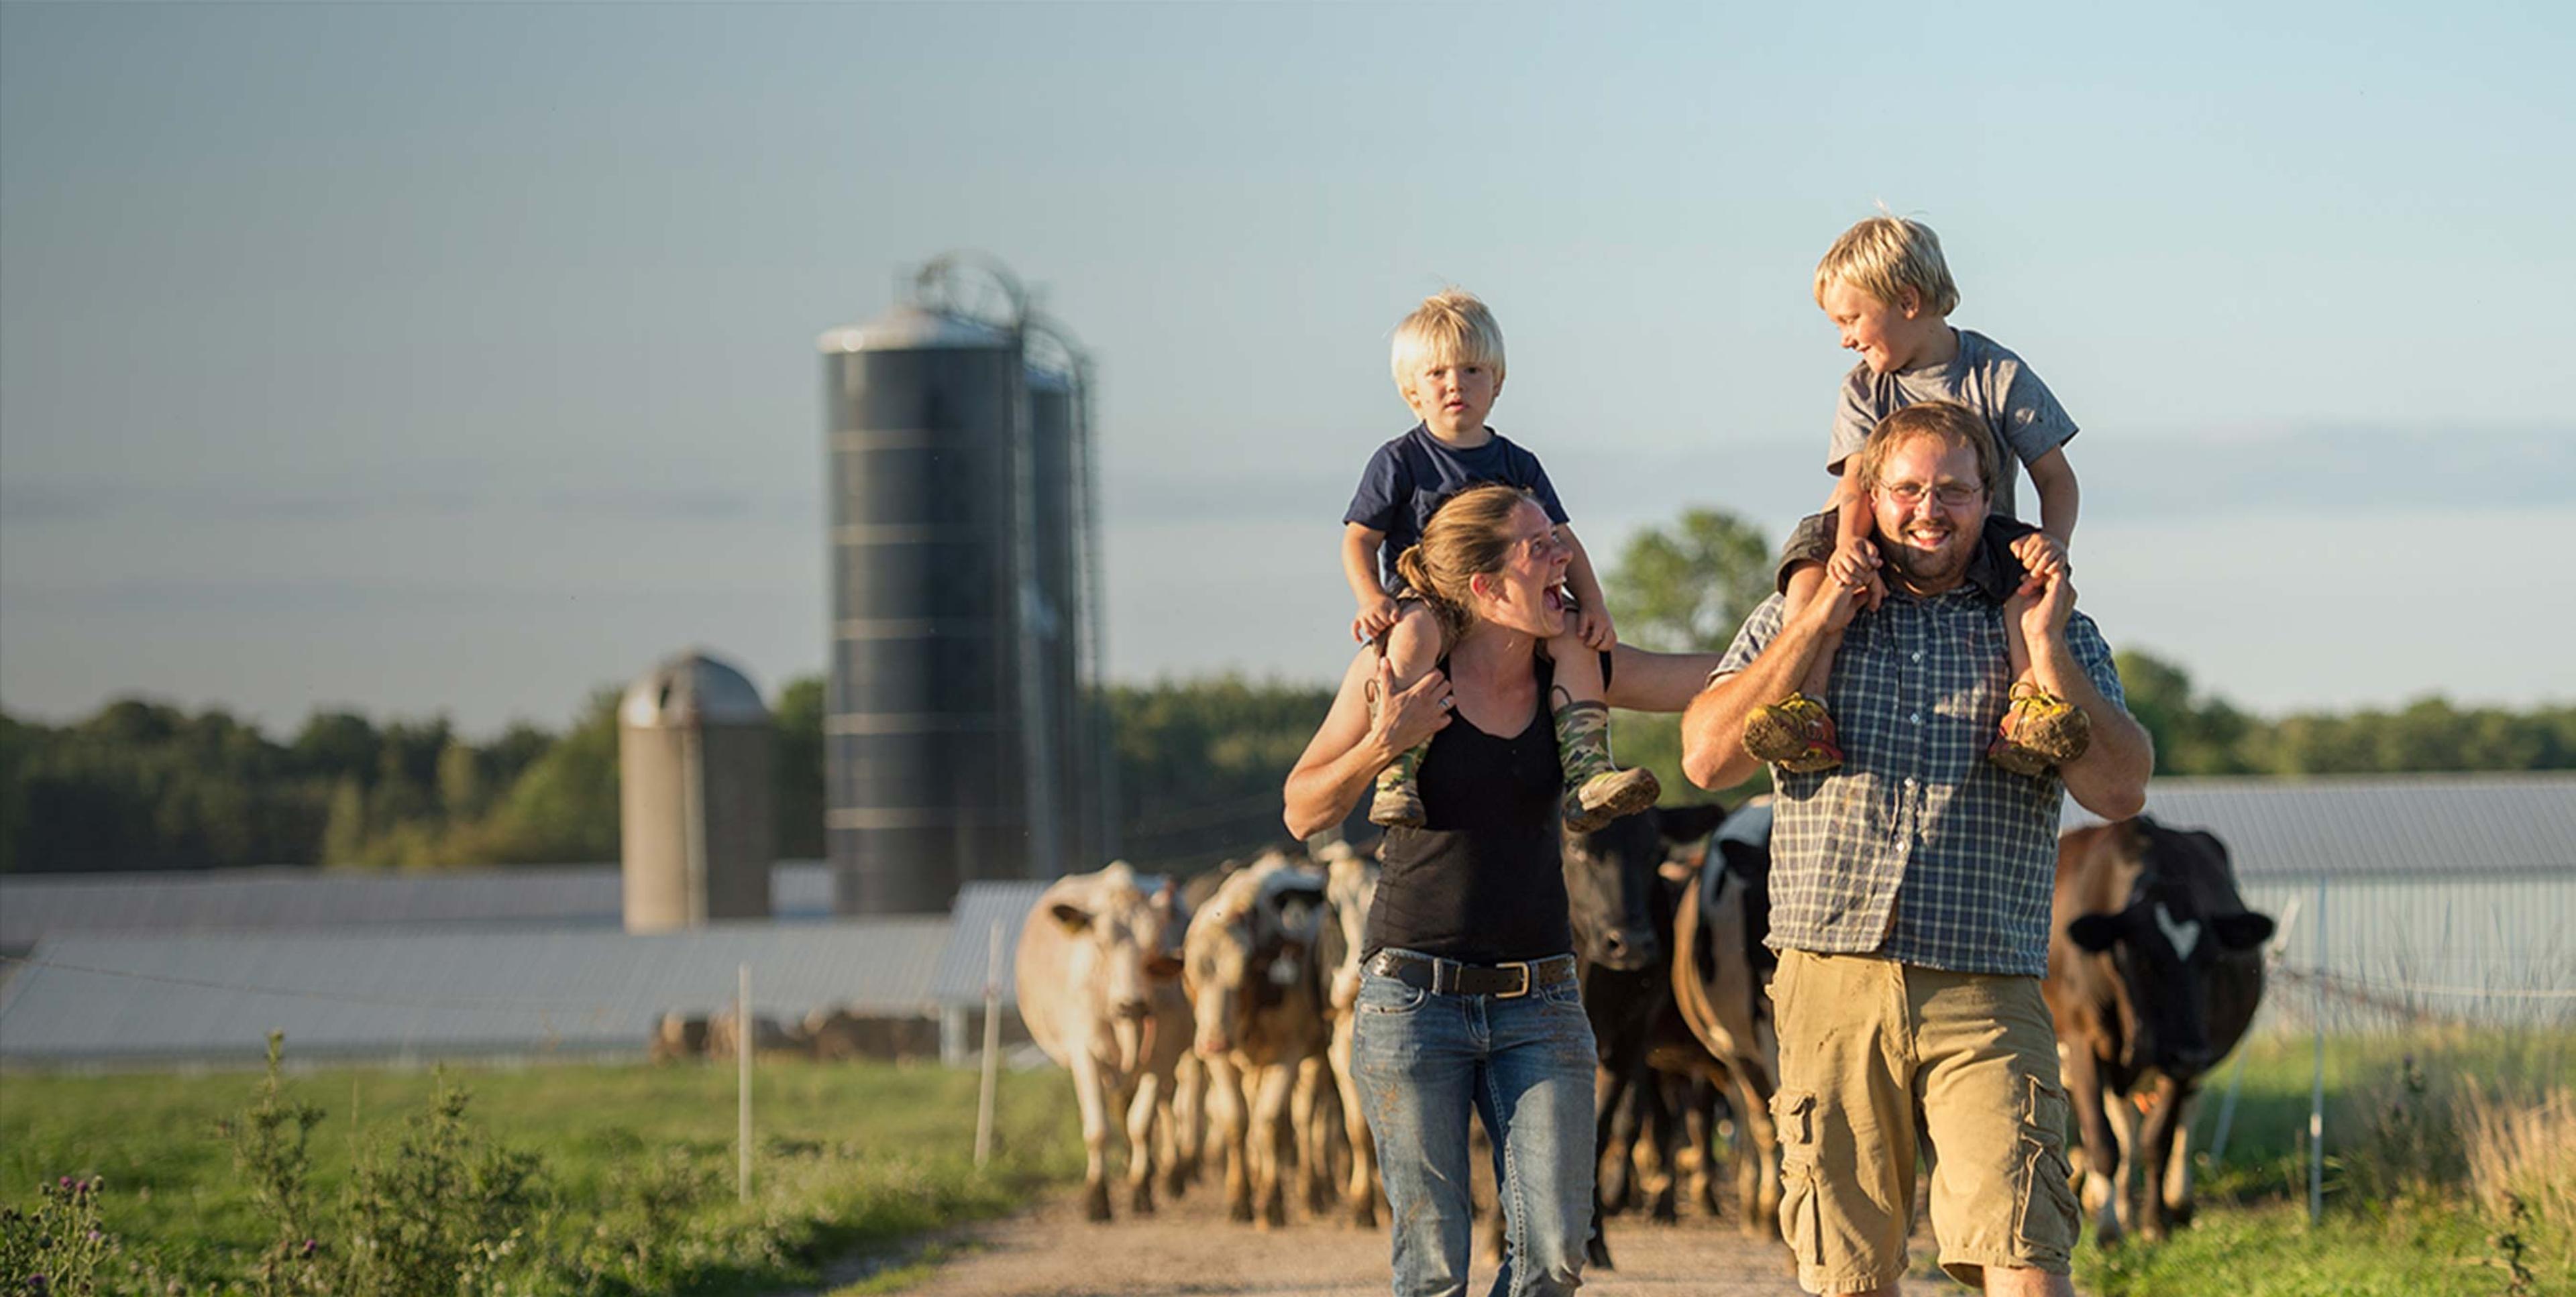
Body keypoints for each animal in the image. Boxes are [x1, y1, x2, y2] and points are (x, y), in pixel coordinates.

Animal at [1014, 864, 1195, 1219]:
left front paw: (1141, 1192)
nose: (1132, 1005)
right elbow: (1099, 1130)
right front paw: (1098, 1199)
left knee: (1159, 1110)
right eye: (1102, 943)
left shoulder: (1161, 1058)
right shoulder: (1085, 1054)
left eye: (1153, 945)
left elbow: (1141, 1124)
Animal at [1185, 849, 1339, 1225]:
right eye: (1192, 973)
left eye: (1243, 972)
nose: (1212, 1041)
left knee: (1306, 1118)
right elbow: (1236, 1120)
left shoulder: (1289, 1053)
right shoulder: (1221, 1060)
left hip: (1315, 1059)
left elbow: (1268, 1121)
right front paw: (1241, 1198)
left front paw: (1271, 1203)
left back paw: (1313, 1191)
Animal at [2040, 818, 2267, 1245]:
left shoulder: (2184, 1053)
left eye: (2212, 959)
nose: (2190, 1053)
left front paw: (2154, 1224)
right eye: (2144, 958)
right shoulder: (2082, 1043)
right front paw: (2109, 1229)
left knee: (2183, 1118)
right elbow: (2104, 1141)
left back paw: (2177, 1202)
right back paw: (2117, 1206)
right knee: (2122, 1124)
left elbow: (2158, 1138)